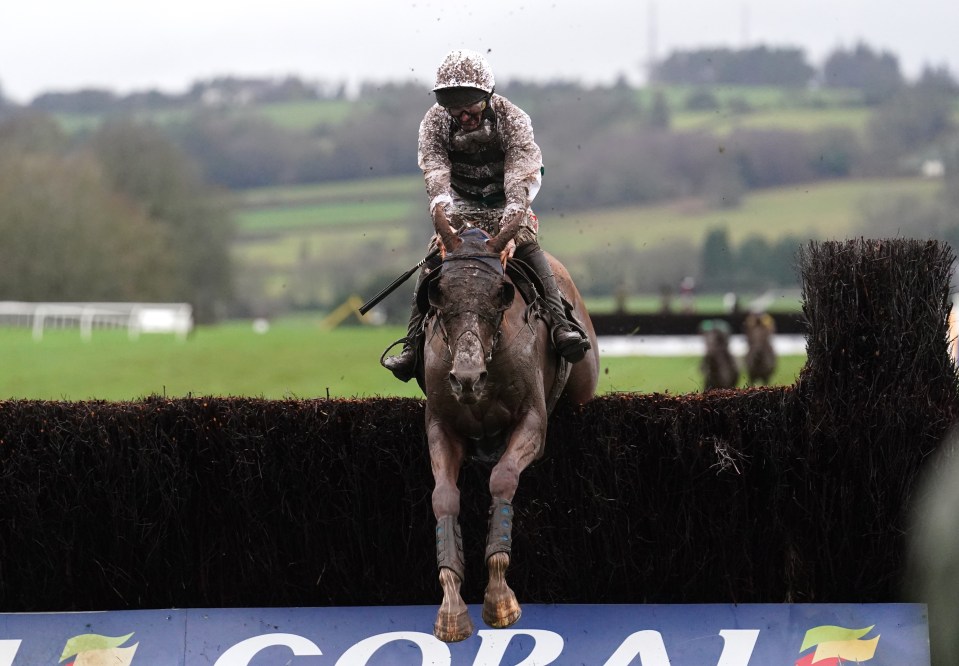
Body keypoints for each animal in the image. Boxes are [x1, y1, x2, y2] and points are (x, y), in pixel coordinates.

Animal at [416, 227, 596, 640]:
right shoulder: (441, 428)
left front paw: (499, 596)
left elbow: (502, 478)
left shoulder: (532, 422)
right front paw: (451, 606)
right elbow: (444, 498)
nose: (466, 379)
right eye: (440, 295)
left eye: (498, 295)